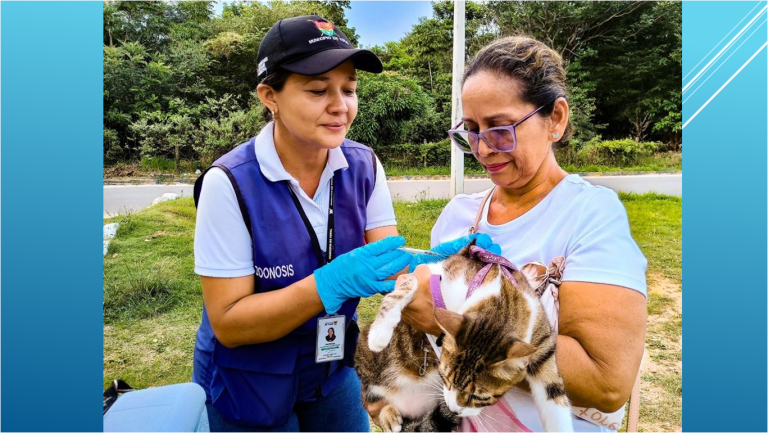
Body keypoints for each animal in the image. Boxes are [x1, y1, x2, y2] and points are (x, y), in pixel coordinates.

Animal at [354, 243, 568, 432]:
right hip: (366, 362)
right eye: (444, 378)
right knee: (370, 393)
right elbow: (408, 283)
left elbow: (554, 391)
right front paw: (380, 333)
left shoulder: (542, 340)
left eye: (480, 398)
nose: (453, 409)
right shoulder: (437, 271)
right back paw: (388, 414)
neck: (502, 297)